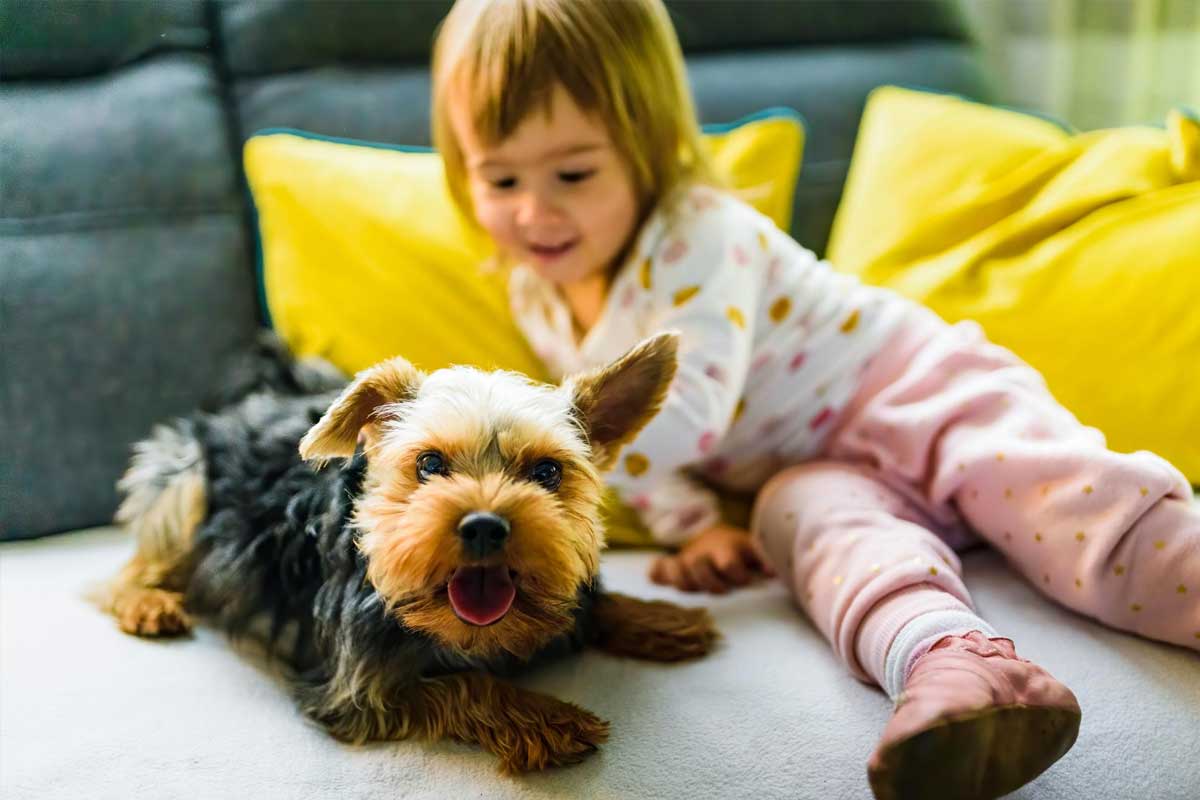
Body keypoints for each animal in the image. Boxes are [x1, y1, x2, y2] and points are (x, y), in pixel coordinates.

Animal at [98, 331, 715, 767]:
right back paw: (147, 603)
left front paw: (664, 619)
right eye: (429, 464)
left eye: (547, 472)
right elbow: (469, 683)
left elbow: (588, 607)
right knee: (133, 565)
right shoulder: (360, 691)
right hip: (184, 481)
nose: (484, 526)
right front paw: (548, 718)